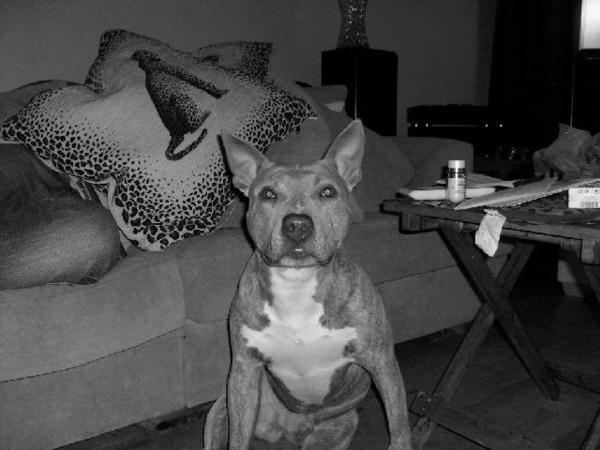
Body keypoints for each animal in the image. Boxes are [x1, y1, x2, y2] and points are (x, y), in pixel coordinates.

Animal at [204, 120, 413, 450]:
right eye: (268, 194)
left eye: (327, 192)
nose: (297, 225)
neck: (297, 284)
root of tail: (286, 431)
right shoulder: (243, 371)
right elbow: (237, 438)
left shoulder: (381, 361)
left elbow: (399, 425)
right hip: (221, 410)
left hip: (337, 427)